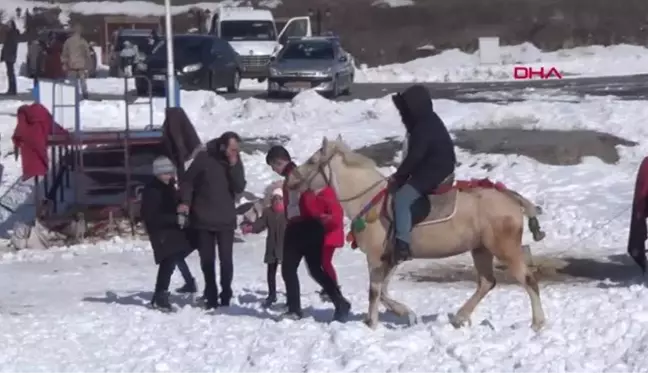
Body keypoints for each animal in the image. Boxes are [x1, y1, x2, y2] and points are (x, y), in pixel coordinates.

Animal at [288, 135, 548, 330]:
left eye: (312, 160)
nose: (291, 178)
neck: (369, 200)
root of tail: (512, 200)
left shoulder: (375, 258)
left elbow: (374, 290)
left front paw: (372, 324)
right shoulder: (391, 259)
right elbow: (383, 291)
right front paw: (406, 313)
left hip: (504, 249)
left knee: (528, 280)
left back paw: (537, 324)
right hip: (480, 249)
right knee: (487, 282)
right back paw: (459, 317)